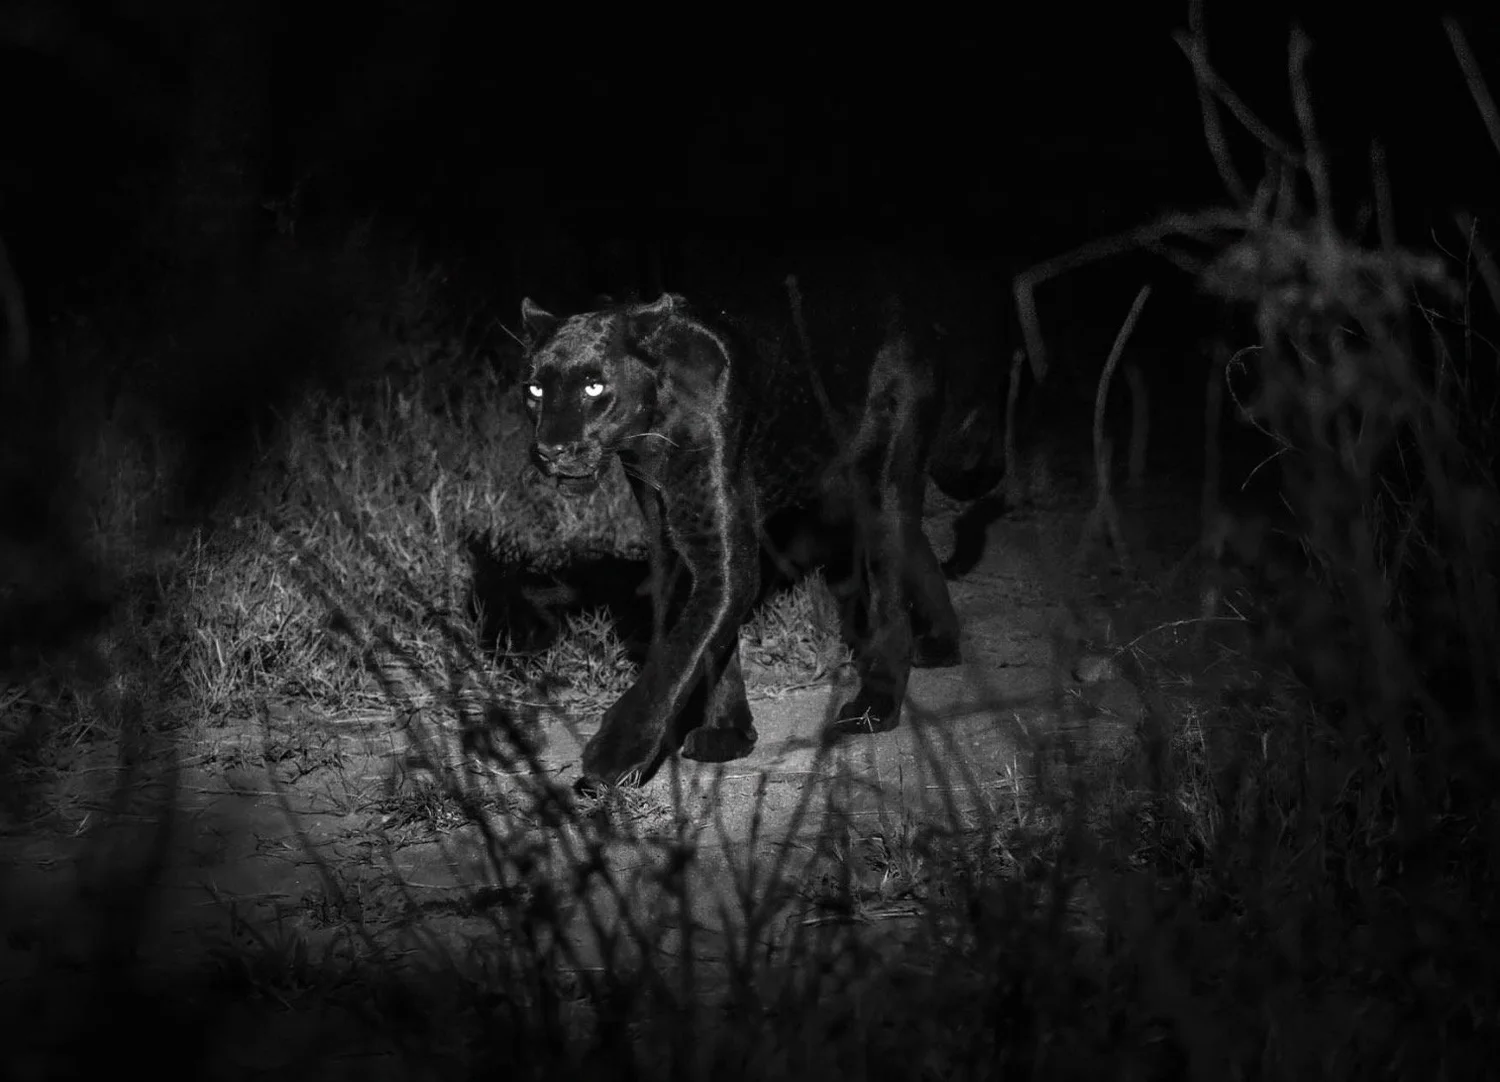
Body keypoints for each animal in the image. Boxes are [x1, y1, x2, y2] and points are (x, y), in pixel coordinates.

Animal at [519, 275, 1007, 789]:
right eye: (534, 389)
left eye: (594, 387)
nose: (550, 449)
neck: (652, 430)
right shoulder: (673, 538)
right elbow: (703, 639)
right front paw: (728, 734)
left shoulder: (721, 549)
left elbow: (680, 651)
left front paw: (615, 752)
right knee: (917, 543)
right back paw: (941, 643)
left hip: (883, 476)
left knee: (889, 586)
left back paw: (876, 706)